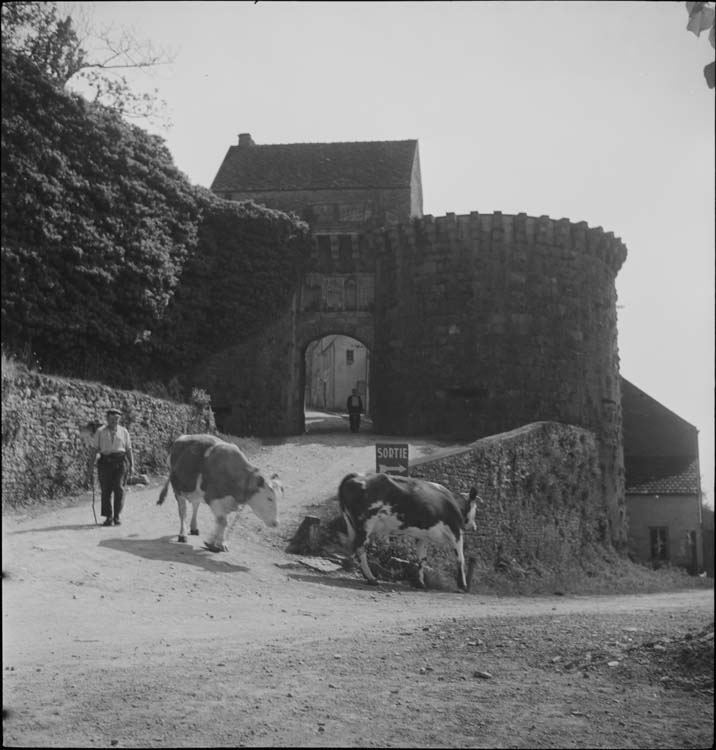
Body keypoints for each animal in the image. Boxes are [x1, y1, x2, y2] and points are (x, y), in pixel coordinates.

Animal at [338, 476, 482, 592]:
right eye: (475, 508)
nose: (474, 526)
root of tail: (355, 477)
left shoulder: (423, 537)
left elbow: (422, 559)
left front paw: (420, 583)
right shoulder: (456, 532)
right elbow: (461, 559)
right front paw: (463, 586)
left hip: (352, 524)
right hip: (366, 524)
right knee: (360, 549)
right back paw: (371, 578)